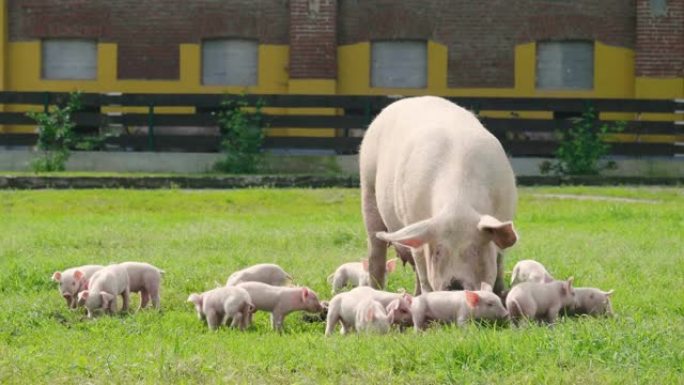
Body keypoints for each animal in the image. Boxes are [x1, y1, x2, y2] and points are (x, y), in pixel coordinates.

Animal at [360, 96, 516, 294]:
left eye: (474, 250)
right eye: (438, 252)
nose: (455, 286)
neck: (457, 201)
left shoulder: (504, 212)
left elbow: (499, 261)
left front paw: (500, 293)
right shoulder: (414, 220)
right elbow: (423, 271)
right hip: (368, 188)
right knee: (377, 255)